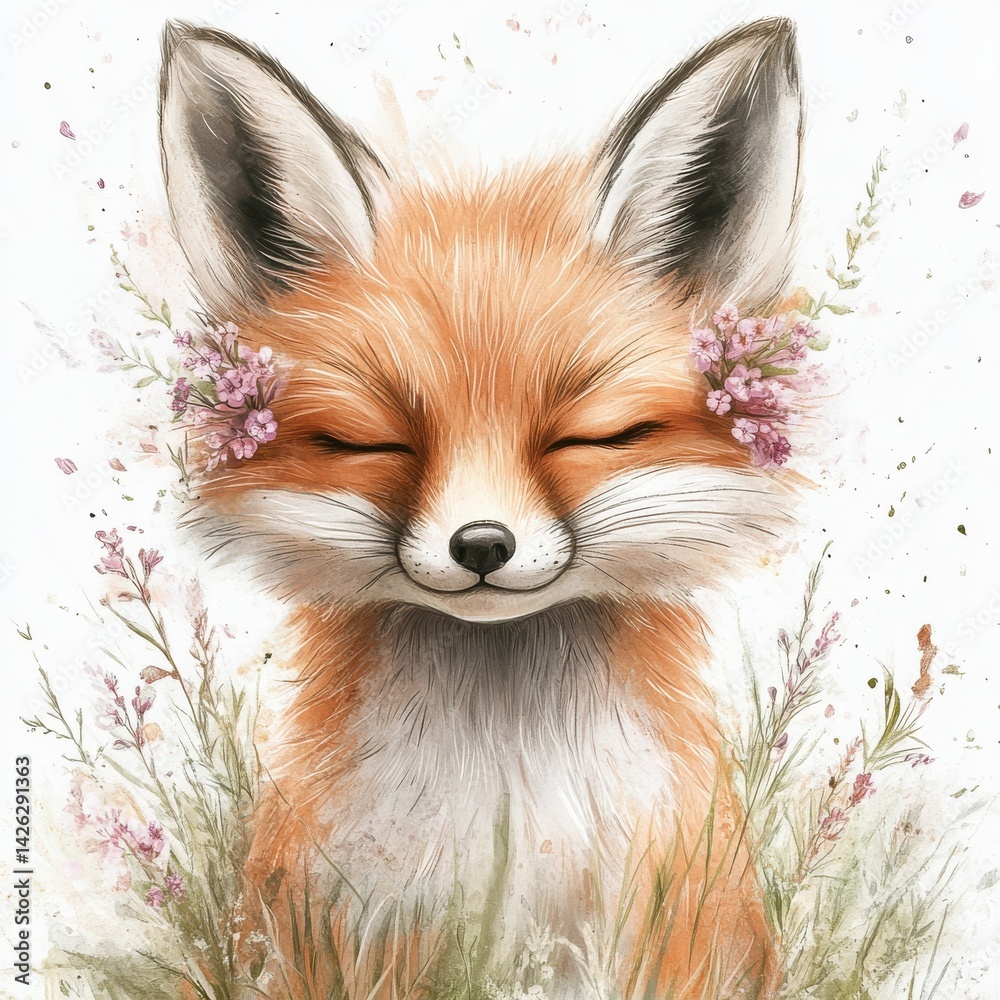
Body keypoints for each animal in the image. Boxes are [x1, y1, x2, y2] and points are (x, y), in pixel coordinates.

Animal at [159, 15, 803, 999]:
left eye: (592, 436)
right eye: (372, 442)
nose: (483, 545)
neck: (510, 815)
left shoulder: (680, 931)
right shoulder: (327, 931)